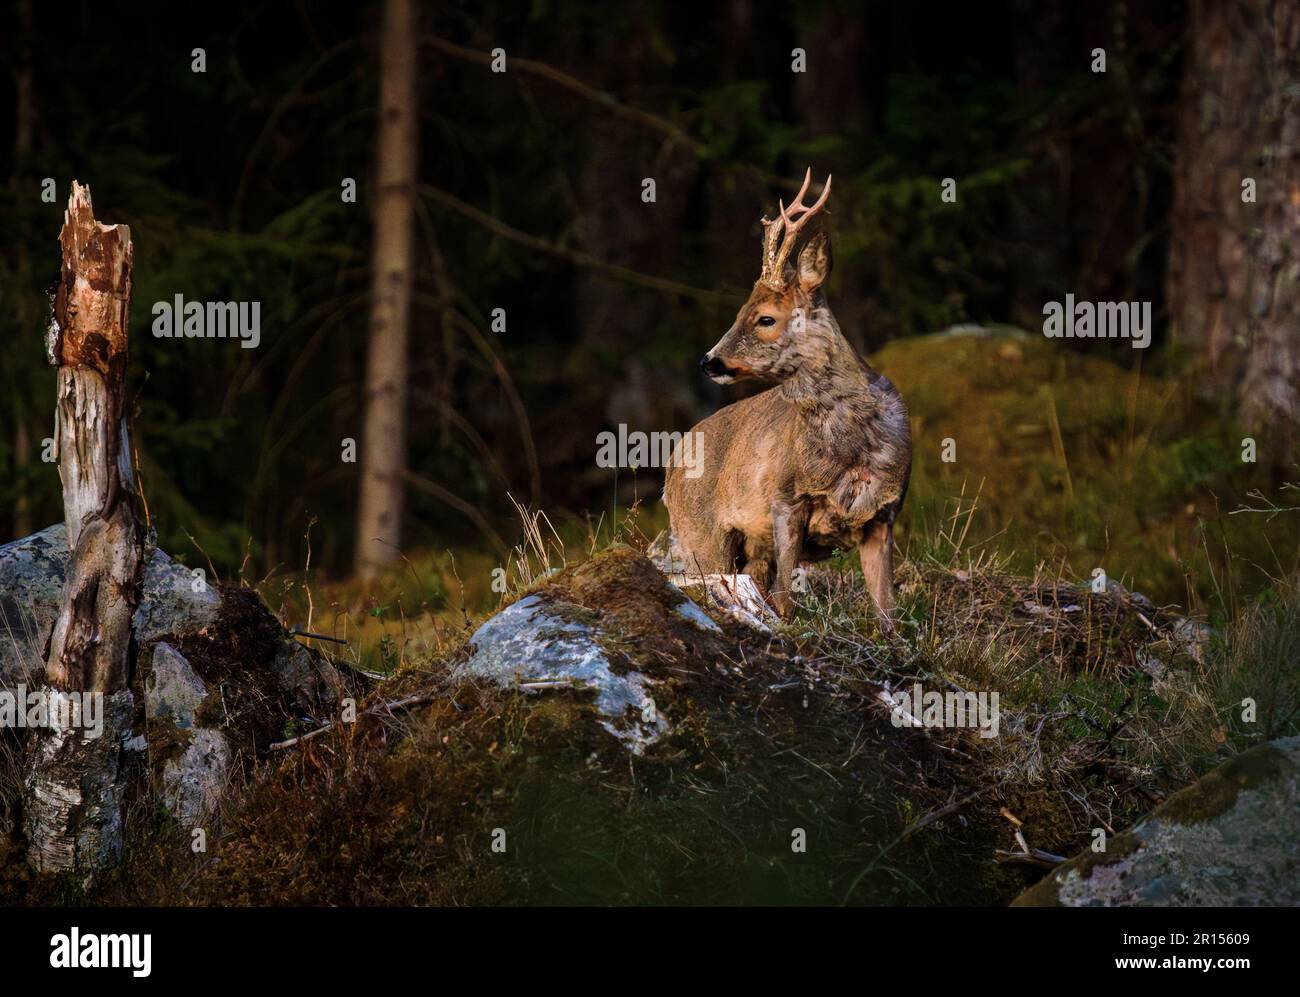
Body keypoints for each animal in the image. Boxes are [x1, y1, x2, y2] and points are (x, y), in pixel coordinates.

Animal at [665, 168, 909, 629]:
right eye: (738, 312)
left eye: (765, 318)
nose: (708, 361)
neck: (849, 451)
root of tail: (670, 464)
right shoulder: (783, 500)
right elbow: (784, 602)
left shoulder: (883, 514)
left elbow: (888, 613)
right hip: (700, 533)